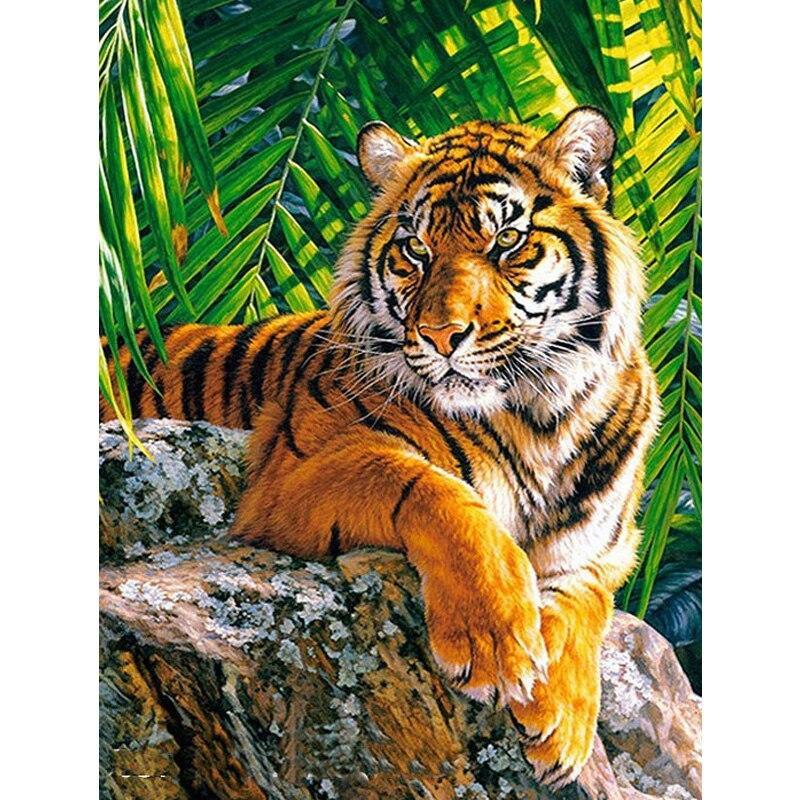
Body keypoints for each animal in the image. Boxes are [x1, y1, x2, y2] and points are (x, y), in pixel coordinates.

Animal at [101, 107, 660, 790]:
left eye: (507, 242)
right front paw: (494, 639)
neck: (539, 415)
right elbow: (435, 492)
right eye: (416, 250)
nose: (442, 336)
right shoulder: (290, 474)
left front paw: (565, 722)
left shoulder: (606, 548)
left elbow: (586, 601)